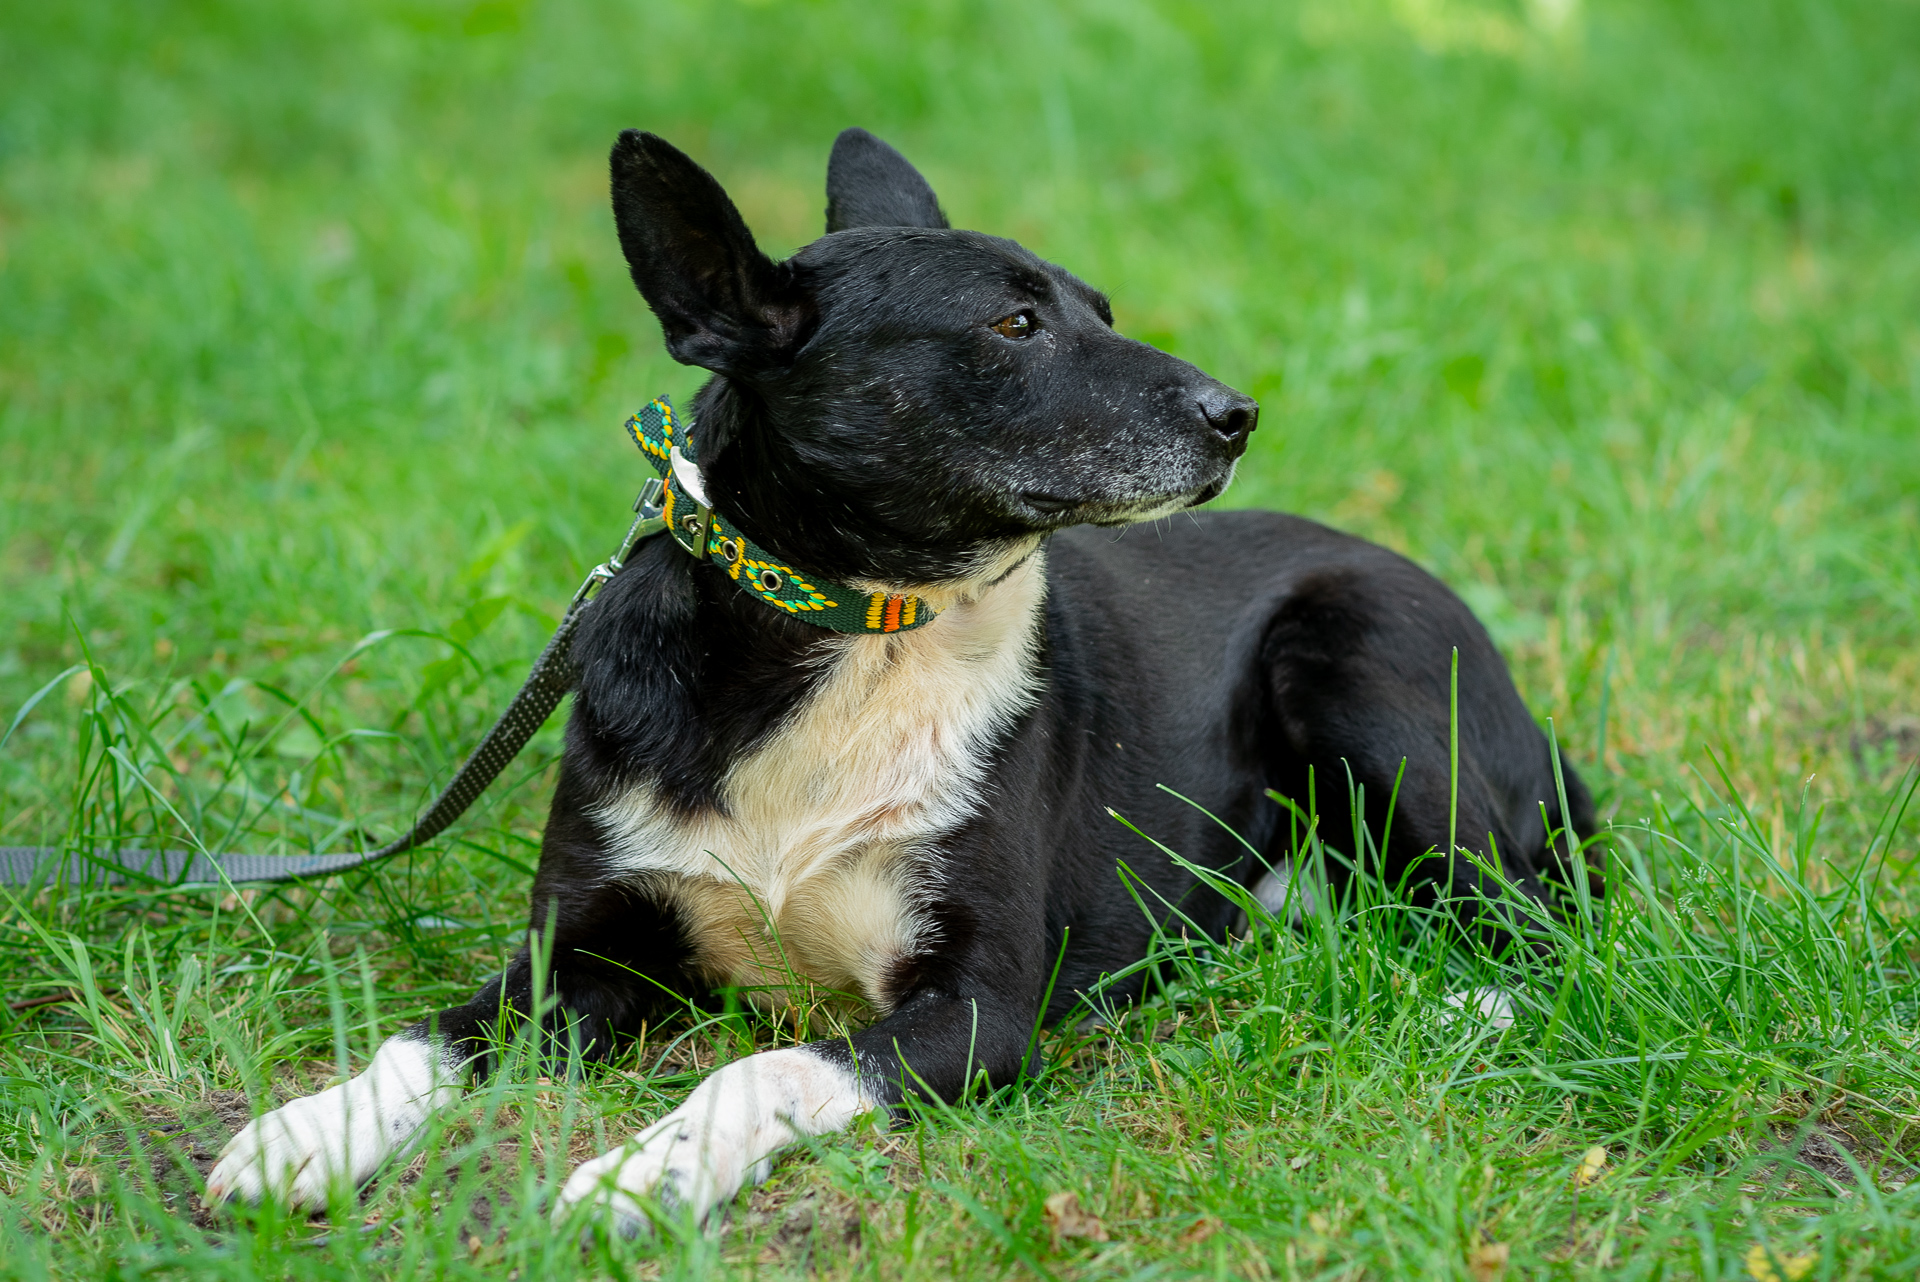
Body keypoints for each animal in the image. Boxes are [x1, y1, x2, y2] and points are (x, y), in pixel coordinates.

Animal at [202, 124, 1597, 1228]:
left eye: (1099, 308)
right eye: (1014, 322)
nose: (1238, 413)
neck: (863, 631)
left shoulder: (973, 1005)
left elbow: (757, 1069)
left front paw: (647, 1172)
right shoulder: (583, 953)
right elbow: (429, 1037)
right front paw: (311, 1128)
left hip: (1361, 669)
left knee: (1541, 914)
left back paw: (1460, 1006)